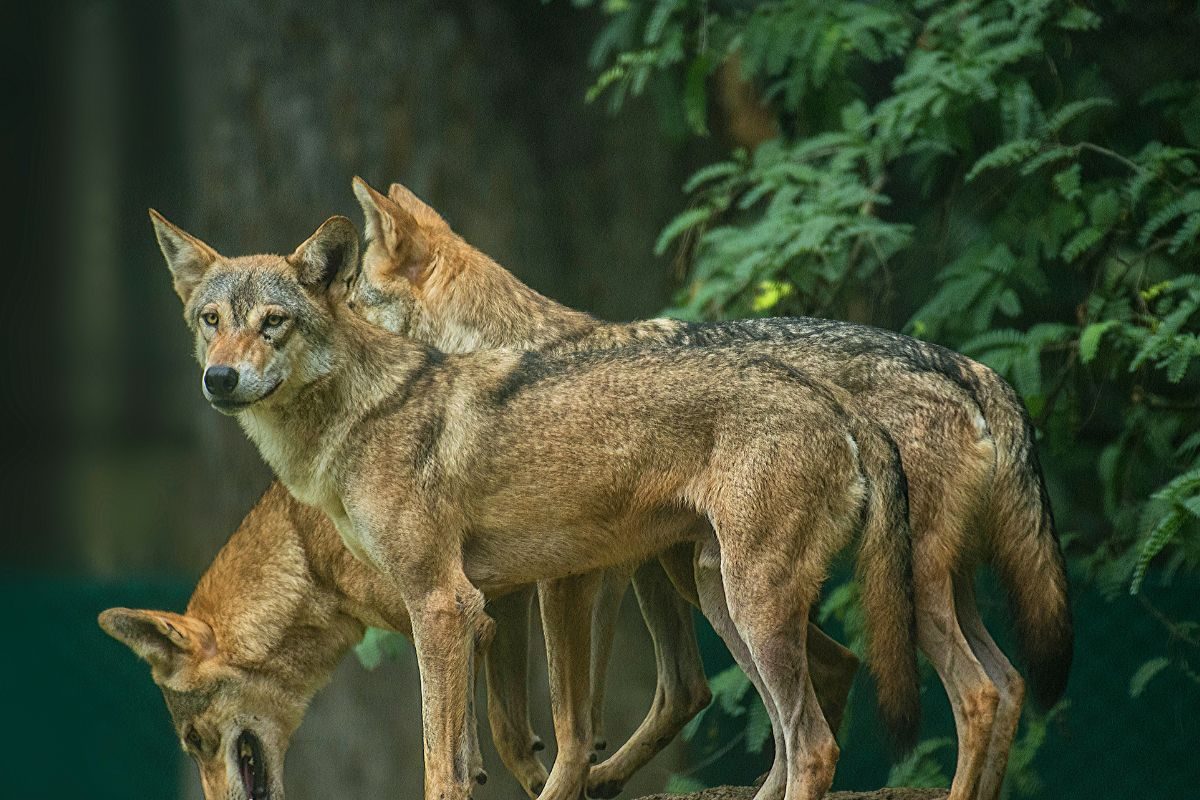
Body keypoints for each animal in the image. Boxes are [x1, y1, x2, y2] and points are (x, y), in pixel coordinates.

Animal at [148, 206, 918, 800]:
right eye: (210, 320)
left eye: (273, 322)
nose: (220, 378)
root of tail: (831, 398)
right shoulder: (480, 610)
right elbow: (483, 753)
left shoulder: (445, 606)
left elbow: (446, 766)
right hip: (716, 595)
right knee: (788, 726)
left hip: (742, 601)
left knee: (814, 744)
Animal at [344, 178, 1074, 800]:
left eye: (347, 303)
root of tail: (972, 369)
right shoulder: (540, 580)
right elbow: (503, 723)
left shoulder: (568, 580)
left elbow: (568, 721)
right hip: (735, 583)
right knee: (1003, 683)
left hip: (845, 590)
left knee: (971, 695)